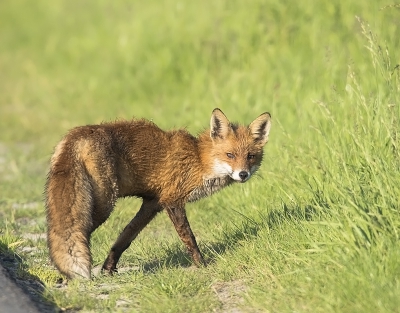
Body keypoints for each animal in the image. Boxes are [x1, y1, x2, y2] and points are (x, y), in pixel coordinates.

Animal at [45, 108, 270, 280]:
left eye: (250, 156)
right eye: (229, 155)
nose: (243, 174)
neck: (198, 161)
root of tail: (77, 133)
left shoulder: (152, 204)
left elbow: (124, 237)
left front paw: (109, 268)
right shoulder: (172, 200)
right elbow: (189, 238)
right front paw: (202, 264)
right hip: (103, 203)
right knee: (79, 232)